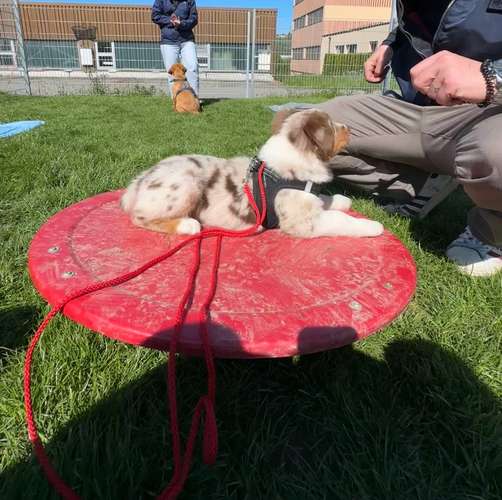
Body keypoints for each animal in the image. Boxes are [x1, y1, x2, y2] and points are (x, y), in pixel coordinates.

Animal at [121, 110, 384, 239]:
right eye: (332, 126)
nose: (349, 128)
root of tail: (139, 180)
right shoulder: (302, 222)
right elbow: (341, 220)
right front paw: (374, 226)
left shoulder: (309, 196)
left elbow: (325, 199)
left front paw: (342, 199)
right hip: (186, 185)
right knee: (139, 217)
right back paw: (187, 225)